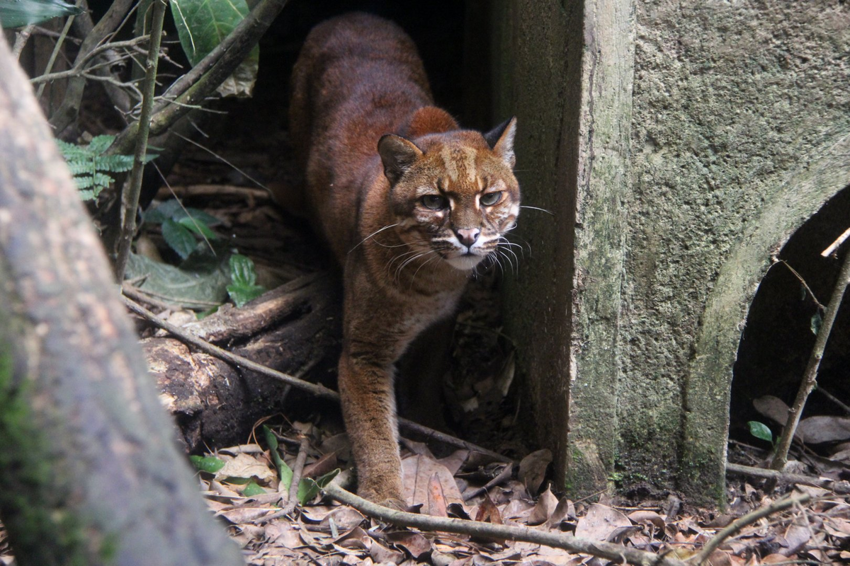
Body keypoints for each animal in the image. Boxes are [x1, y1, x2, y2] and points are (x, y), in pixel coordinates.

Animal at [288, 12, 520, 506]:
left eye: (490, 197)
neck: (434, 278)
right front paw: (383, 497)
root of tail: (350, 15)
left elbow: (425, 379)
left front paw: (433, 428)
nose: (468, 236)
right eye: (434, 201)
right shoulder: (362, 352)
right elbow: (372, 428)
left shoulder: (439, 324)